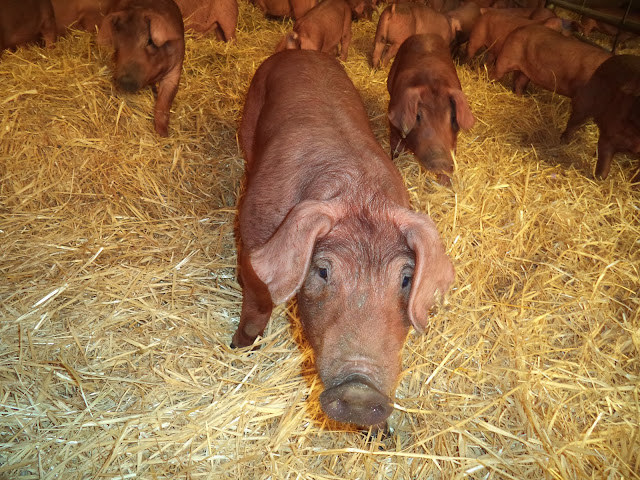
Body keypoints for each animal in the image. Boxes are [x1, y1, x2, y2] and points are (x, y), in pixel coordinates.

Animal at [98, 0, 185, 137]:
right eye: (118, 43)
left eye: (150, 41)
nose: (125, 81)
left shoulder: (175, 69)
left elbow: (165, 101)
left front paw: (163, 134)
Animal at [234, 49, 455, 427]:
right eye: (323, 270)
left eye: (406, 279)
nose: (359, 390)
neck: (359, 193)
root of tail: (300, 51)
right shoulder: (253, 235)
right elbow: (258, 302)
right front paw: (242, 346)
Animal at [387, 34, 475, 185]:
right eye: (418, 116)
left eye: (453, 117)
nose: (440, 161)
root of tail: (424, 35)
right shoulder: (393, 124)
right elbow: (395, 148)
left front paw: (446, 185)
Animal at [561, 54, 640, 183]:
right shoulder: (609, 136)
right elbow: (604, 165)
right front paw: (597, 179)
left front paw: (631, 183)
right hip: (584, 102)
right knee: (573, 122)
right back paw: (564, 142)